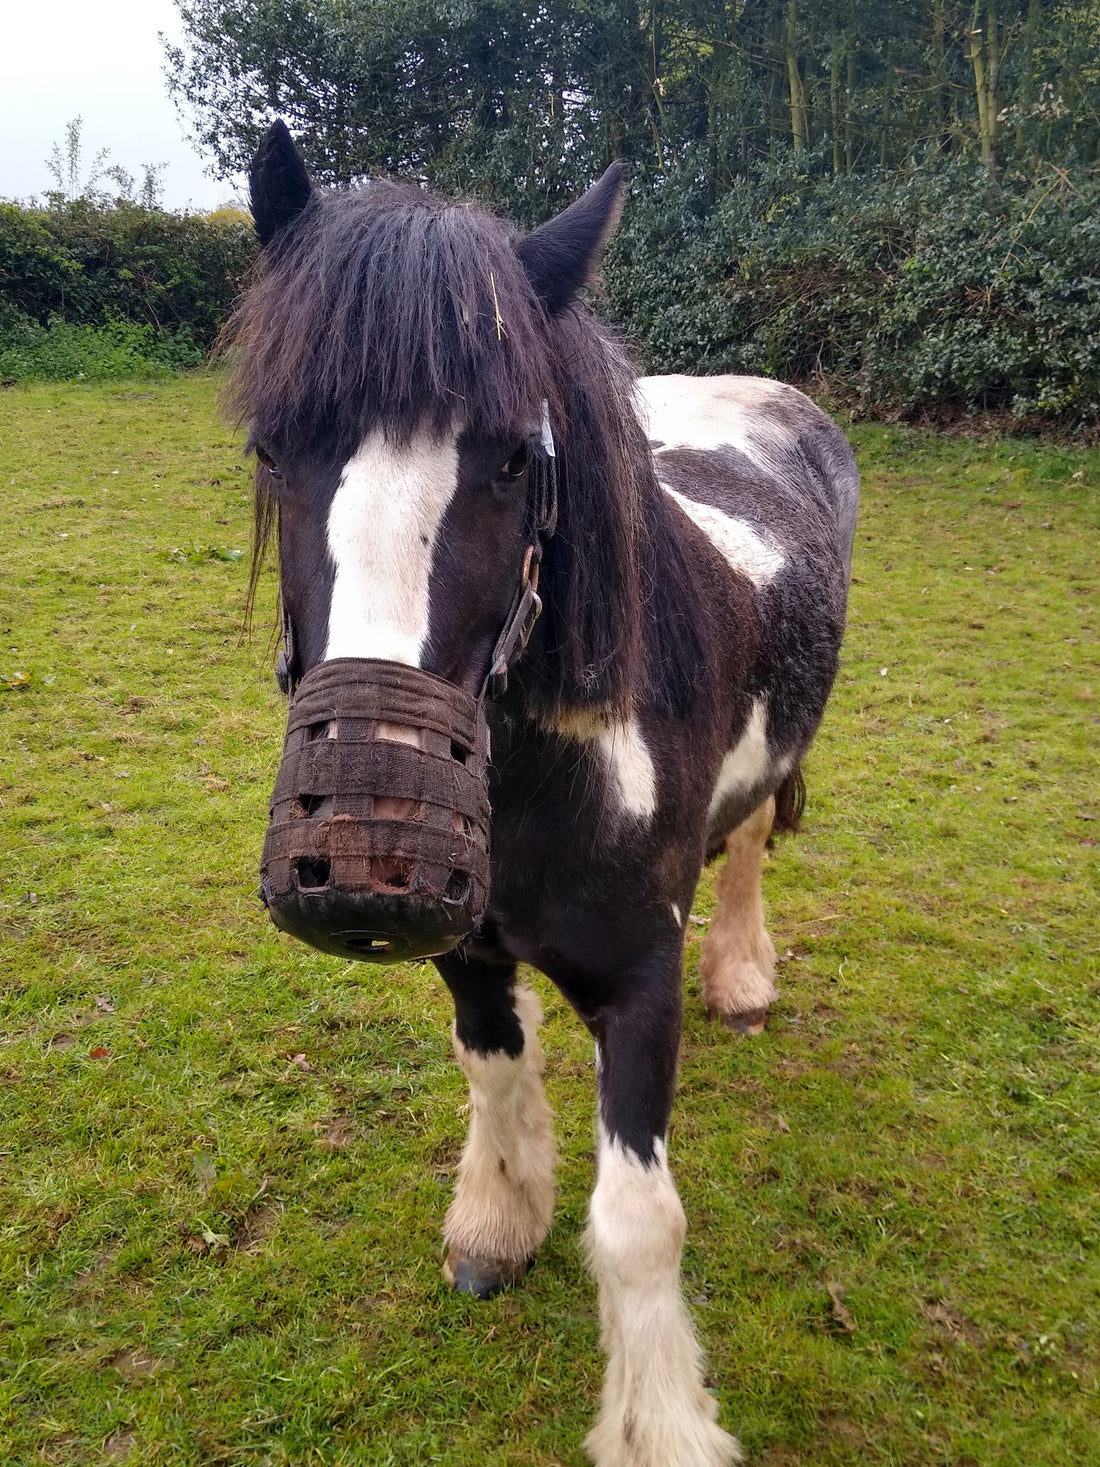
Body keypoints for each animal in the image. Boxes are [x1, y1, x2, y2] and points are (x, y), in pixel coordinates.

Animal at [225, 123, 862, 1467]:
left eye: (516, 460)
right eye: (272, 444)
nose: (361, 846)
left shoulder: (636, 983)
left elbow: (636, 1221)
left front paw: (661, 1422)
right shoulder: (467, 950)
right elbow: (493, 1073)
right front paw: (494, 1227)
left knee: (746, 845)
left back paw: (744, 976)